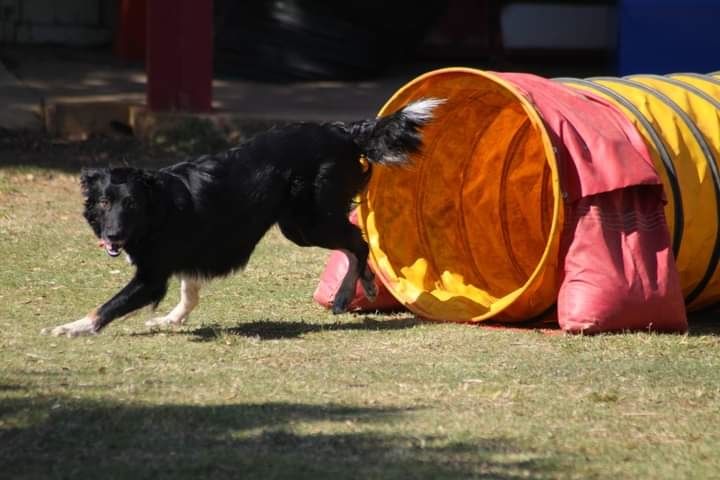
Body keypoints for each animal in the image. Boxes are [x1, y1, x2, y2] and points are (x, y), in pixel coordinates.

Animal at [43, 98, 444, 338]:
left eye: (131, 205)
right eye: (104, 202)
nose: (112, 236)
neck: (158, 207)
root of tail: (341, 129)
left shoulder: (151, 277)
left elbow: (107, 306)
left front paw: (72, 327)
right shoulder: (188, 257)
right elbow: (189, 293)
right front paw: (172, 320)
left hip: (306, 223)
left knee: (357, 241)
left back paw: (347, 294)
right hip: (302, 223)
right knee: (351, 244)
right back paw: (365, 285)